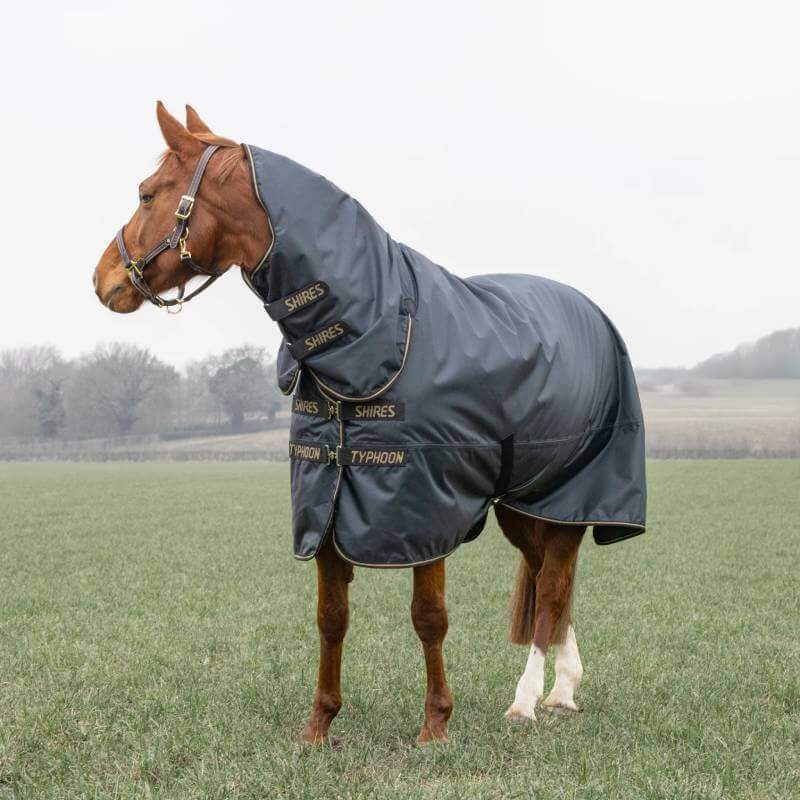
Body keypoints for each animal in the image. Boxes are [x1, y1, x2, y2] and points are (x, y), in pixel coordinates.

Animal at [93, 103, 646, 744]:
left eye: (147, 193)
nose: (102, 280)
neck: (372, 333)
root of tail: (590, 311)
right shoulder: (326, 504)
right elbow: (331, 618)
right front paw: (319, 726)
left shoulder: (424, 508)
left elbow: (429, 618)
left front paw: (435, 726)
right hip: (525, 501)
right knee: (547, 584)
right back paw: (563, 688)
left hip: (568, 496)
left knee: (553, 587)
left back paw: (529, 700)